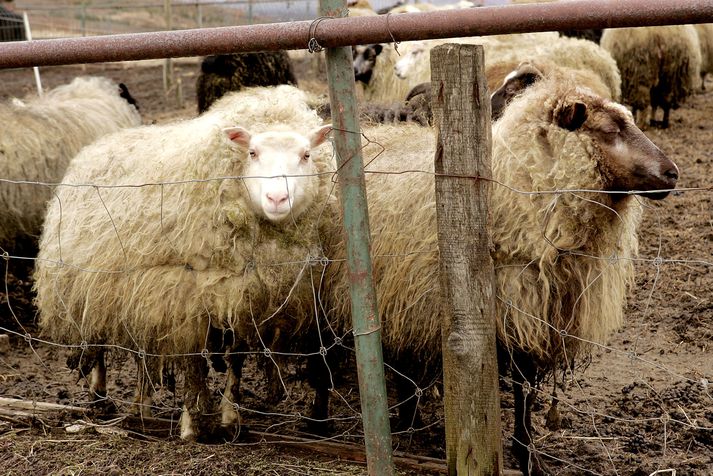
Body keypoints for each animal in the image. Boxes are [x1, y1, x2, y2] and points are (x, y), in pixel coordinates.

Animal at [36, 83, 340, 440]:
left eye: (306, 155)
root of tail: (99, 143)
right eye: (252, 152)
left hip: (138, 292)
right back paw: (100, 396)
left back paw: (140, 407)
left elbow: (235, 360)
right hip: (93, 282)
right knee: (96, 337)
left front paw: (230, 417)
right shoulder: (185, 297)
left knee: (142, 351)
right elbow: (193, 363)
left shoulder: (241, 295)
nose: (277, 199)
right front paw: (191, 425)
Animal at [322, 76, 680, 474]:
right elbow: (522, 386)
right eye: (609, 130)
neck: (520, 186)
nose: (672, 173)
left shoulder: (542, 315)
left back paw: (406, 417)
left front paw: (528, 452)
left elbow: (529, 390)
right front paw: (526, 455)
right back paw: (322, 423)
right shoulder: (515, 308)